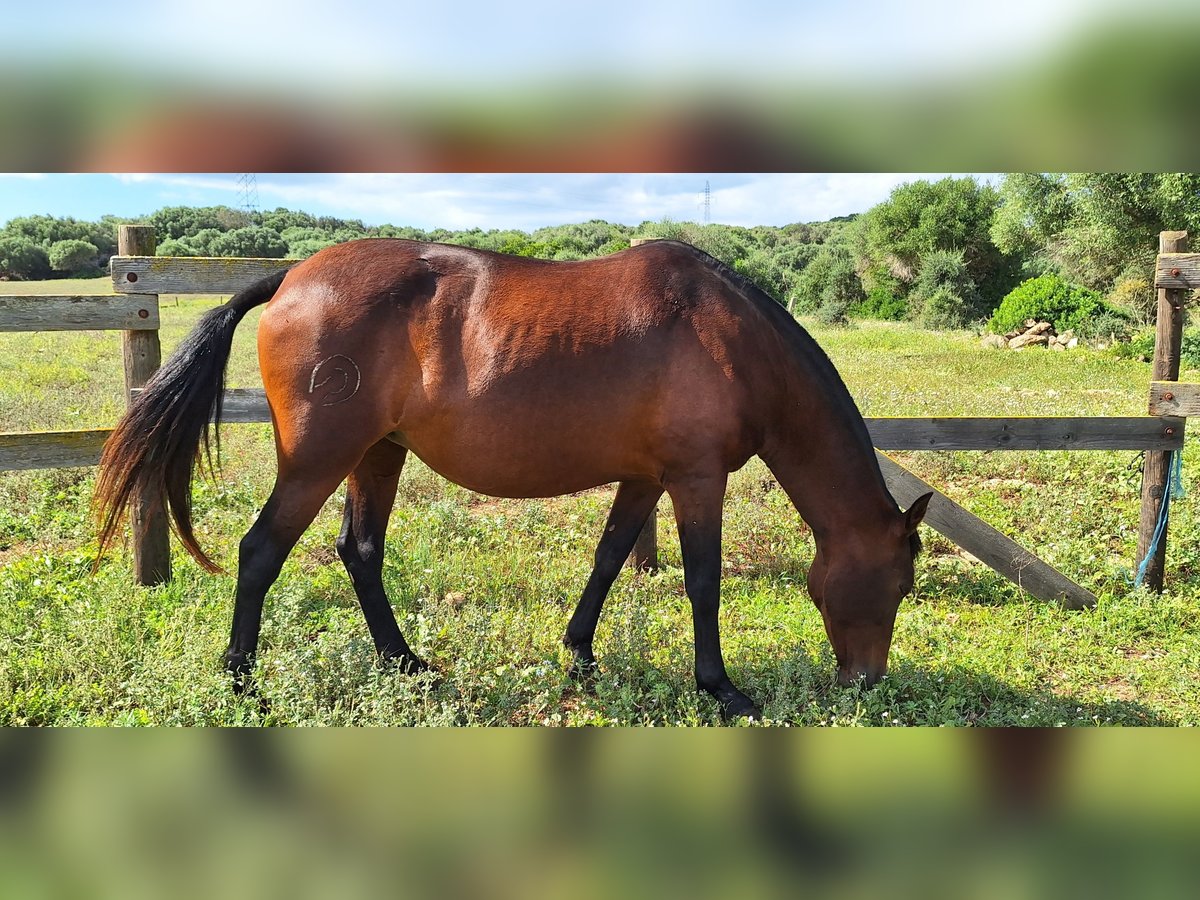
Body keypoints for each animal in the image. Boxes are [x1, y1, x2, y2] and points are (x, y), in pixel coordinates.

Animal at [98, 237, 931, 720]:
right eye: (897, 586)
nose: (868, 683)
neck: (731, 338)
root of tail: (293, 277)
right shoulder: (697, 479)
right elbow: (702, 582)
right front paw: (721, 688)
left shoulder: (645, 478)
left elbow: (609, 557)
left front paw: (580, 654)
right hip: (319, 460)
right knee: (260, 552)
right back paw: (246, 687)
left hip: (377, 453)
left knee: (360, 552)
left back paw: (407, 665)